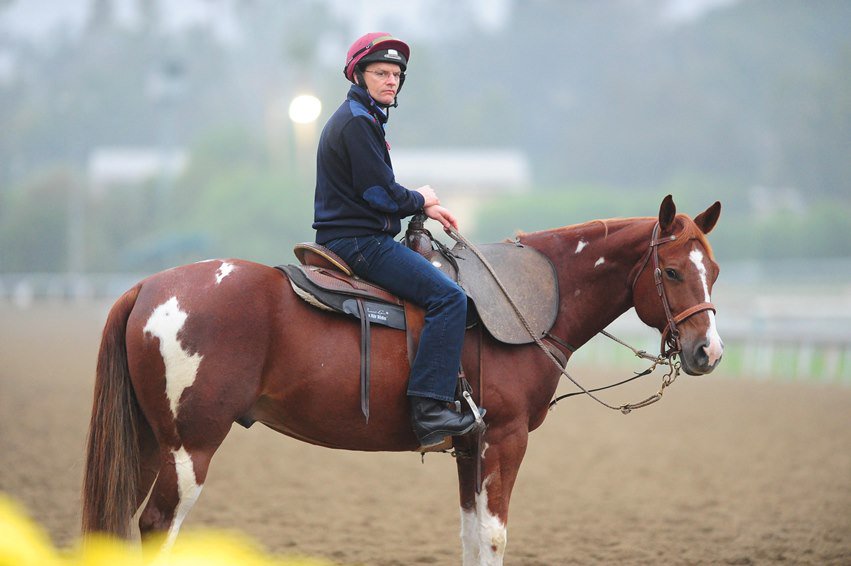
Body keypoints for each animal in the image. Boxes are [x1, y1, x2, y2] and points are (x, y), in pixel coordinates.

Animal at [81, 196, 724, 566]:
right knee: (157, 527)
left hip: (149, 443)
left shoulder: (471, 447)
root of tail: (149, 287)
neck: (532, 300)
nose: (709, 352)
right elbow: (494, 538)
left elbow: (471, 538)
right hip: (190, 448)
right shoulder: (505, 439)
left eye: (713, 270)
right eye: (671, 271)